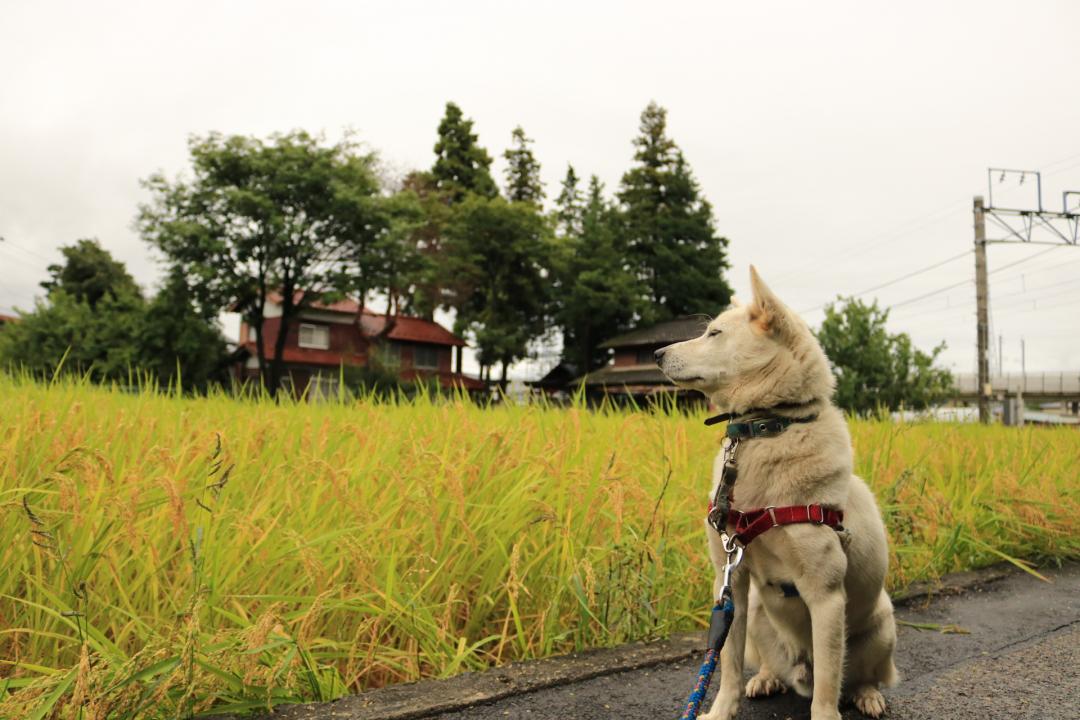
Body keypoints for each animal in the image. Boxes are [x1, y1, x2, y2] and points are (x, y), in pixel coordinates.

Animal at [652, 267, 898, 716]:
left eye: (714, 333)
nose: (657, 353)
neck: (766, 427)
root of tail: (799, 667)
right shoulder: (731, 581)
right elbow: (728, 667)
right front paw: (719, 711)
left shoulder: (826, 595)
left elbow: (826, 692)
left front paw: (827, 713)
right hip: (757, 620)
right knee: (764, 661)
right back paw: (767, 678)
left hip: (881, 626)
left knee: (856, 675)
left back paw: (867, 695)